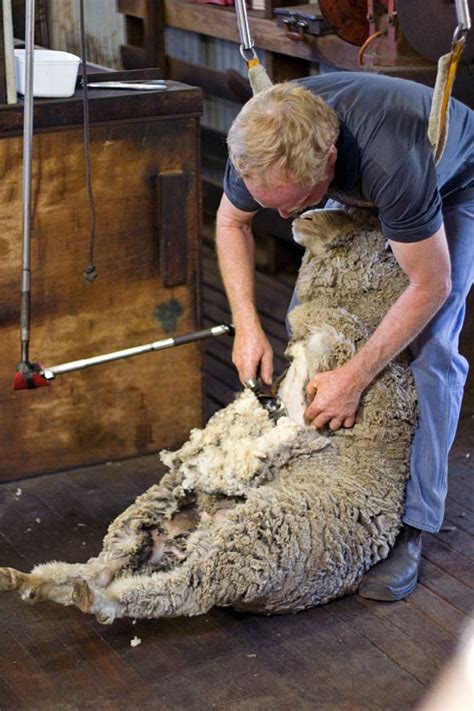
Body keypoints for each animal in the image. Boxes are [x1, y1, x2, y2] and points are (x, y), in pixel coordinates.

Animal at [0, 204, 414, 624]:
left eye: (361, 223)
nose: (304, 218)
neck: (361, 310)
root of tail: (188, 537)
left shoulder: (342, 357)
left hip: (247, 545)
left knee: (169, 592)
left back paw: (88, 599)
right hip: (163, 514)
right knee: (105, 569)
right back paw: (30, 582)